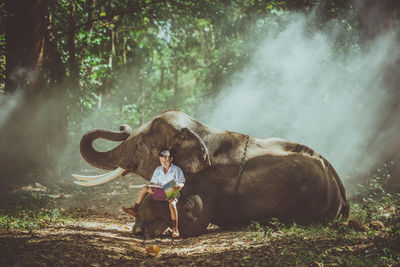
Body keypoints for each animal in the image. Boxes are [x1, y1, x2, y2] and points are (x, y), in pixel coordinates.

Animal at [73, 110, 348, 237]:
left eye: (140, 145)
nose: (122, 126)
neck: (198, 129)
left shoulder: (208, 179)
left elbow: (194, 217)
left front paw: (145, 229)